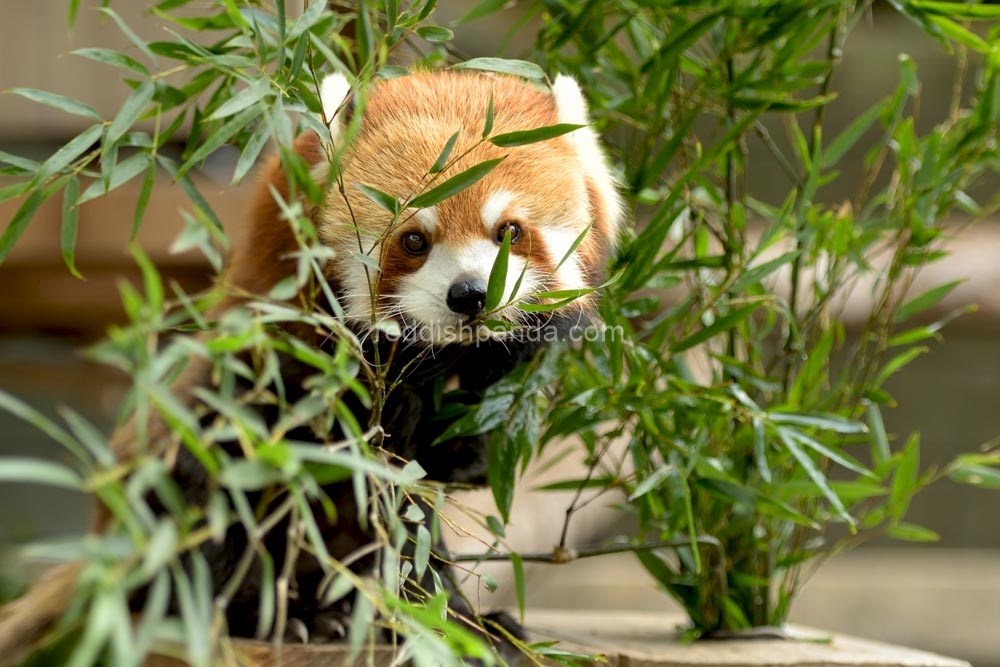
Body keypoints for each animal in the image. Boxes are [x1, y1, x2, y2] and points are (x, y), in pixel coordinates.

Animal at [0, 70, 620, 664]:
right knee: (205, 486)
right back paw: (276, 616)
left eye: (509, 232)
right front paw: (453, 623)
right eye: (413, 240)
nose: (470, 295)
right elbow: (387, 495)